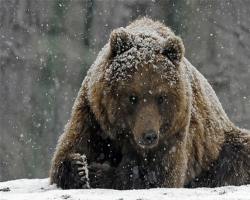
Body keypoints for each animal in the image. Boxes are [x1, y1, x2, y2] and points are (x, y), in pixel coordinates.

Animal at [50, 16, 250, 189]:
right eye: (132, 97)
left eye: (162, 97)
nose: (150, 135)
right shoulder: (93, 115)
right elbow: (69, 149)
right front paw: (79, 168)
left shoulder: (175, 130)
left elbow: (159, 175)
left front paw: (98, 173)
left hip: (217, 145)